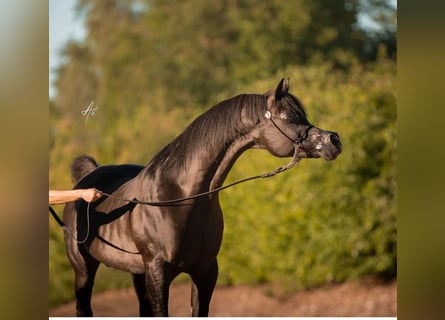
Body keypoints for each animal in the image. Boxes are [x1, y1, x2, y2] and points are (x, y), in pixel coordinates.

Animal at [61, 77, 340, 316]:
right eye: (287, 117)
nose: (334, 140)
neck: (181, 197)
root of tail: (87, 179)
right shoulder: (158, 273)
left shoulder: (205, 272)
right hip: (84, 270)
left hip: (136, 272)